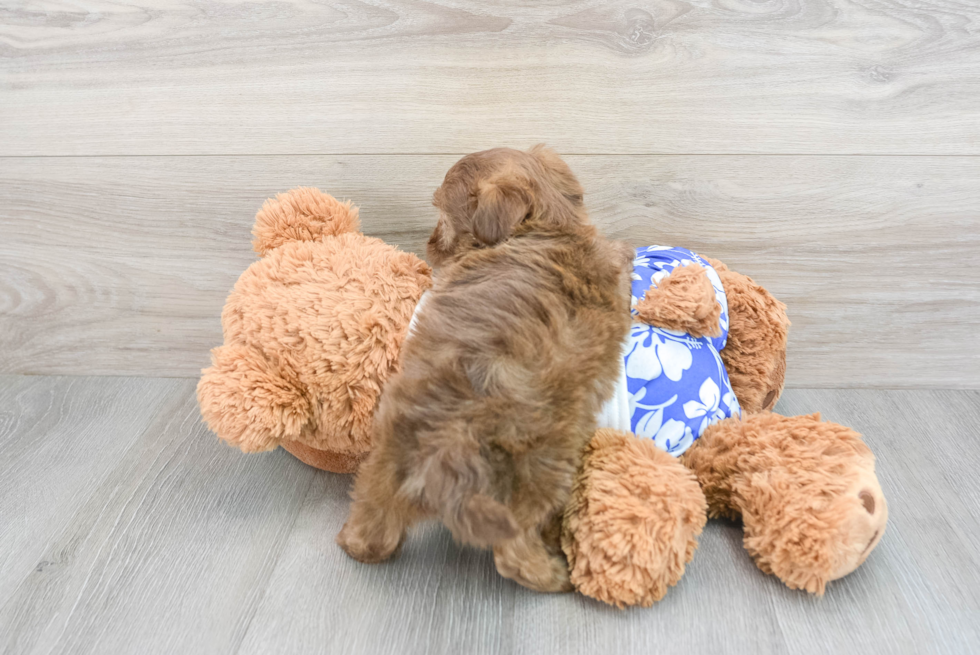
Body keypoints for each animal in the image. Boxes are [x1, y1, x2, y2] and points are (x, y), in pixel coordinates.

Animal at [336, 146, 632, 592]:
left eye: (443, 218)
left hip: (390, 449)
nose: (428, 245)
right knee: (514, 550)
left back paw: (355, 542)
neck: (551, 225)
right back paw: (552, 574)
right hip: (540, 471)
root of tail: (449, 444)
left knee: (375, 510)